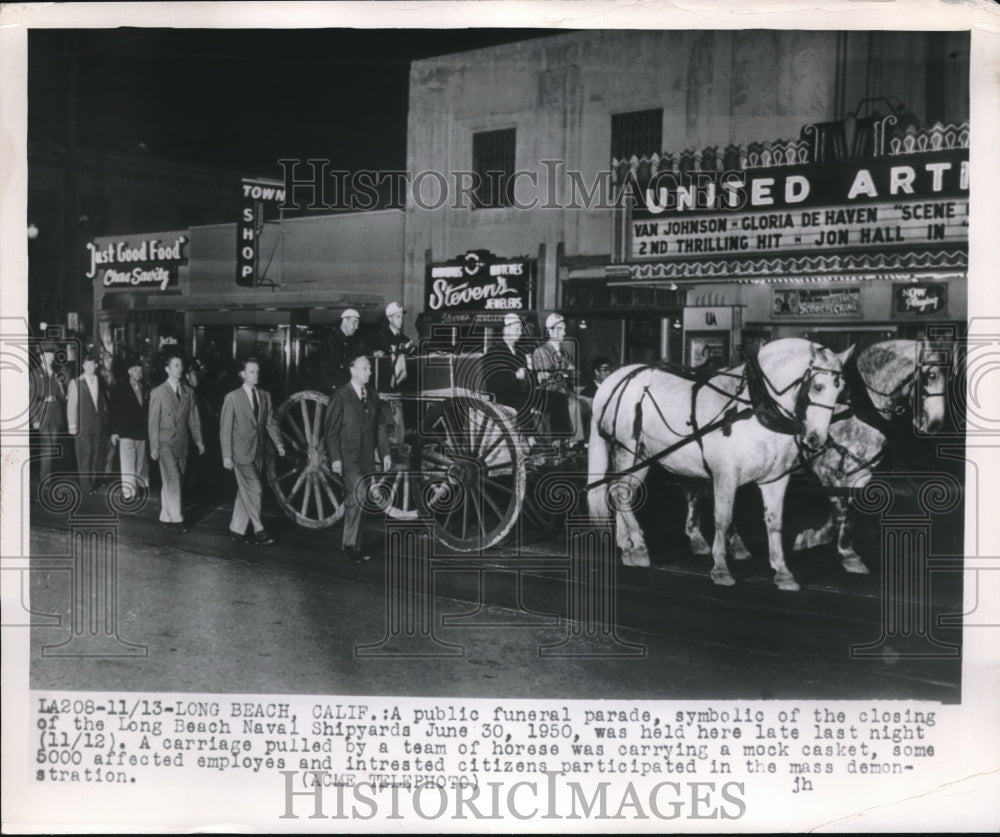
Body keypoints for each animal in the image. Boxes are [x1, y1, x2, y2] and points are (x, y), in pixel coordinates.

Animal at [584, 336, 852, 592]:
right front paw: (721, 569)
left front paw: (783, 573)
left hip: (642, 457)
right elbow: (723, 519)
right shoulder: (726, 475)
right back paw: (639, 547)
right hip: (625, 449)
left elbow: (775, 523)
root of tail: (615, 379)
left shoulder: (776, 479)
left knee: (622, 491)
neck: (754, 410)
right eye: (818, 386)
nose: (816, 439)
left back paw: (627, 545)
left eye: (840, 390)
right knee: (619, 492)